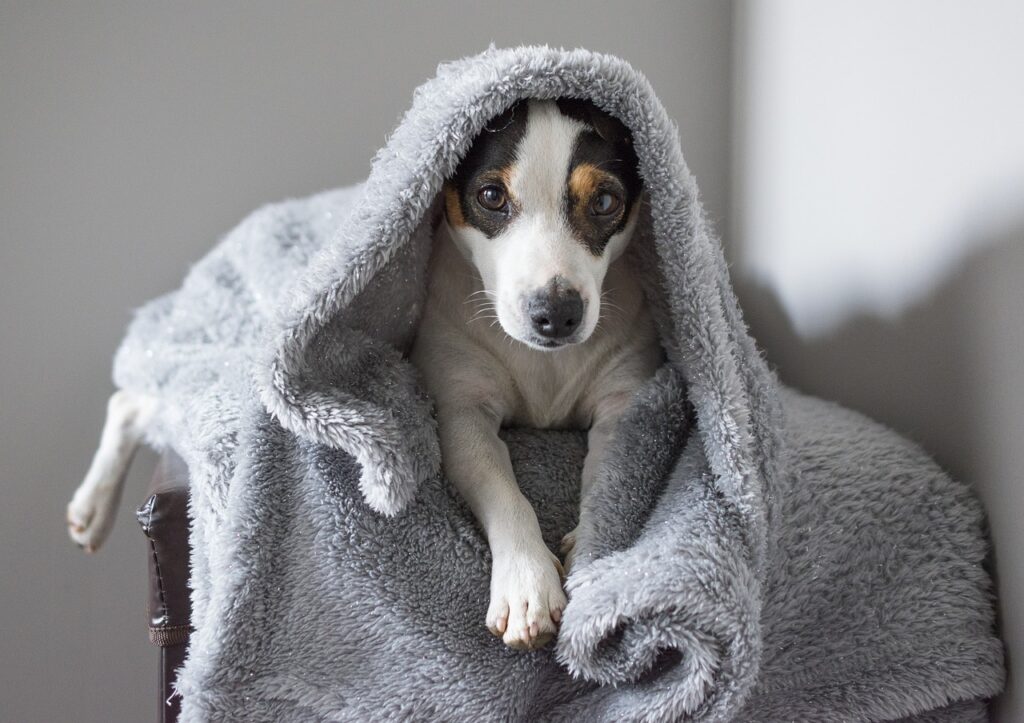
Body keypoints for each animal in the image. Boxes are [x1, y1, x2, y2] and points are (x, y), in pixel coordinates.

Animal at [409, 98, 659, 651]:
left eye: (605, 201)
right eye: (491, 196)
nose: (556, 313)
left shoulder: (623, 406)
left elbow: (608, 479)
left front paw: (589, 552)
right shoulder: (462, 414)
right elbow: (504, 491)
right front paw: (528, 586)